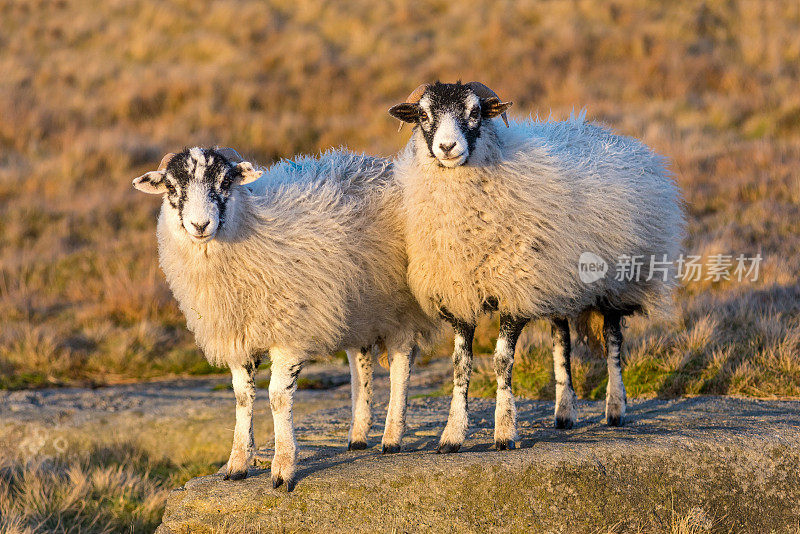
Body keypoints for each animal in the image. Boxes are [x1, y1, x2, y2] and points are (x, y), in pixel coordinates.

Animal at [390, 81, 684, 454]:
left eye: (475, 112)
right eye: (424, 116)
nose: (446, 147)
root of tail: (616, 137)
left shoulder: (516, 292)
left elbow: (502, 361)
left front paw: (504, 432)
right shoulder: (460, 296)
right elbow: (460, 366)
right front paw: (452, 435)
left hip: (617, 282)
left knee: (613, 341)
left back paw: (615, 408)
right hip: (557, 281)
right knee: (562, 342)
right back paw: (564, 413)